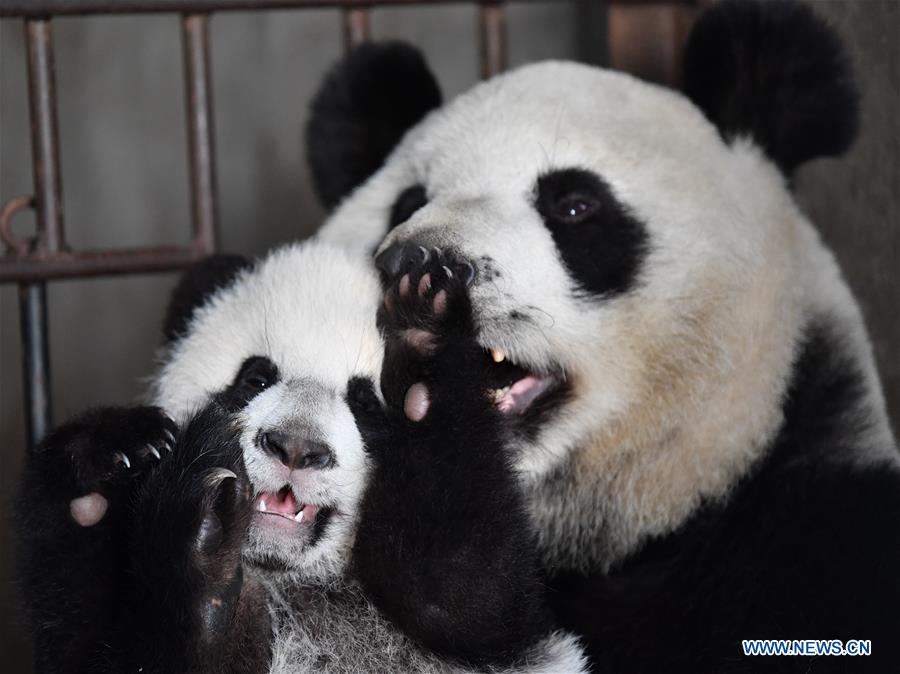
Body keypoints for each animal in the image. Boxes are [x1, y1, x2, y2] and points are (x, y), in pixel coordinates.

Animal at [15, 240, 587, 673]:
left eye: (365, 403)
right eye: (255, 378)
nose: (295, 447)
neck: (296, 579)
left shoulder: (504, 633)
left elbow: (459, 587)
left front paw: (427, 332)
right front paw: (113, 459)